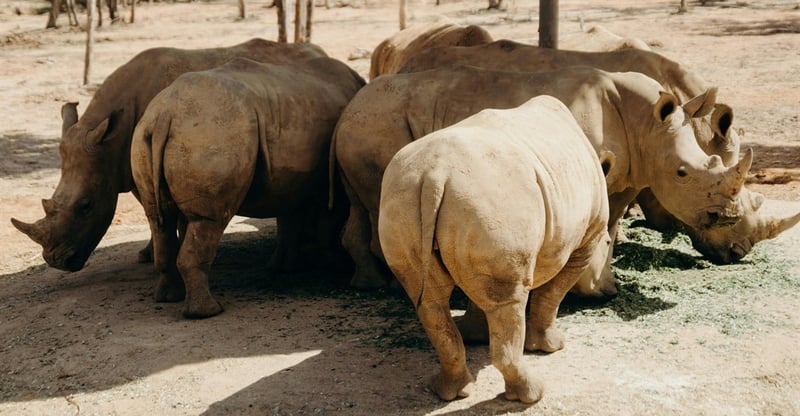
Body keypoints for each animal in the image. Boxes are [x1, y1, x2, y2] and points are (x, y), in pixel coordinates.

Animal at [11, 39, 327, 272]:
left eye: (86, 206)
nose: (57, 262)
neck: (108, 143)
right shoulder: (130, 164)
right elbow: (151, 209)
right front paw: (147, 255)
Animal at [131, 57, 364, 318]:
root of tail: (165, 114)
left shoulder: (290, 179)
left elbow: (289, 217)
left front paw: (283, 268)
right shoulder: (331, 182)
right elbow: (328, 220)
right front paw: (336, 263)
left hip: (147, 134)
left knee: (159, 219)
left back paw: (169, 298)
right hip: (213, 133)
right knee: (209, 220)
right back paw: (208, 312)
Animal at [332, 65, 750, 300]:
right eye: (683, 173)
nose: (729, 221)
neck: (647, 127)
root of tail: (348, 106)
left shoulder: (628, 174)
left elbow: (610, 228)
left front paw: (603, 287)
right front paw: (584, 291)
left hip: (364, 125)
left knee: (361, 206)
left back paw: (369, 285)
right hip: (377, 124)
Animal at [379, 95, 611, 403]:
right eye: (609, 244)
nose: (612, 290)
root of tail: (434, 176)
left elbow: (481, 296)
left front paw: (478, 335)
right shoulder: (585, 242)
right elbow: (553, 294)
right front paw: (550, 347)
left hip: (408, 196)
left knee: (430, 301)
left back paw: (449, 391)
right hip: (489, 200)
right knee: (508, 302)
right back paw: (531, 396)